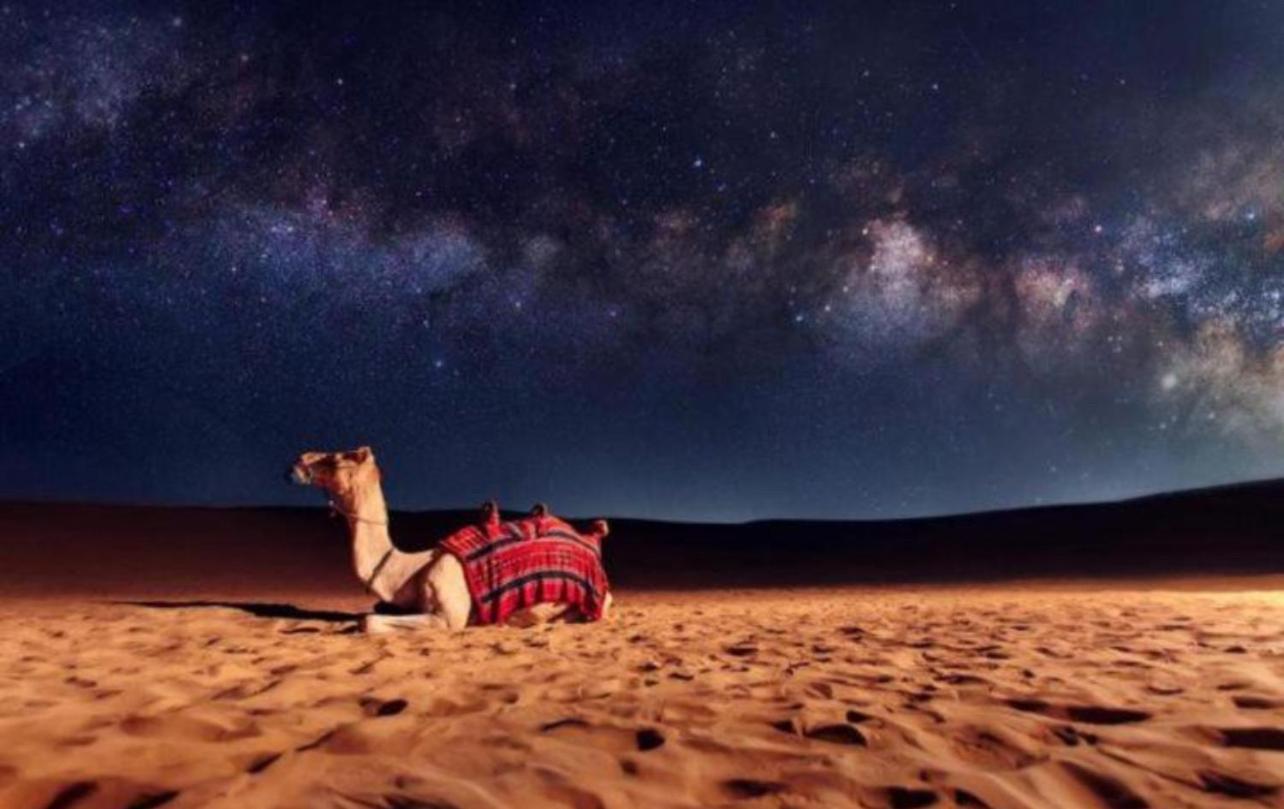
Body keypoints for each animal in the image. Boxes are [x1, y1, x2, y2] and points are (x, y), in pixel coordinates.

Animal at [291, 449, 611, 634]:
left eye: (335, 457)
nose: (297, 461)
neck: (410, 570)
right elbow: (372, 612)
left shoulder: (448, 617)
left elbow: (367, 621)